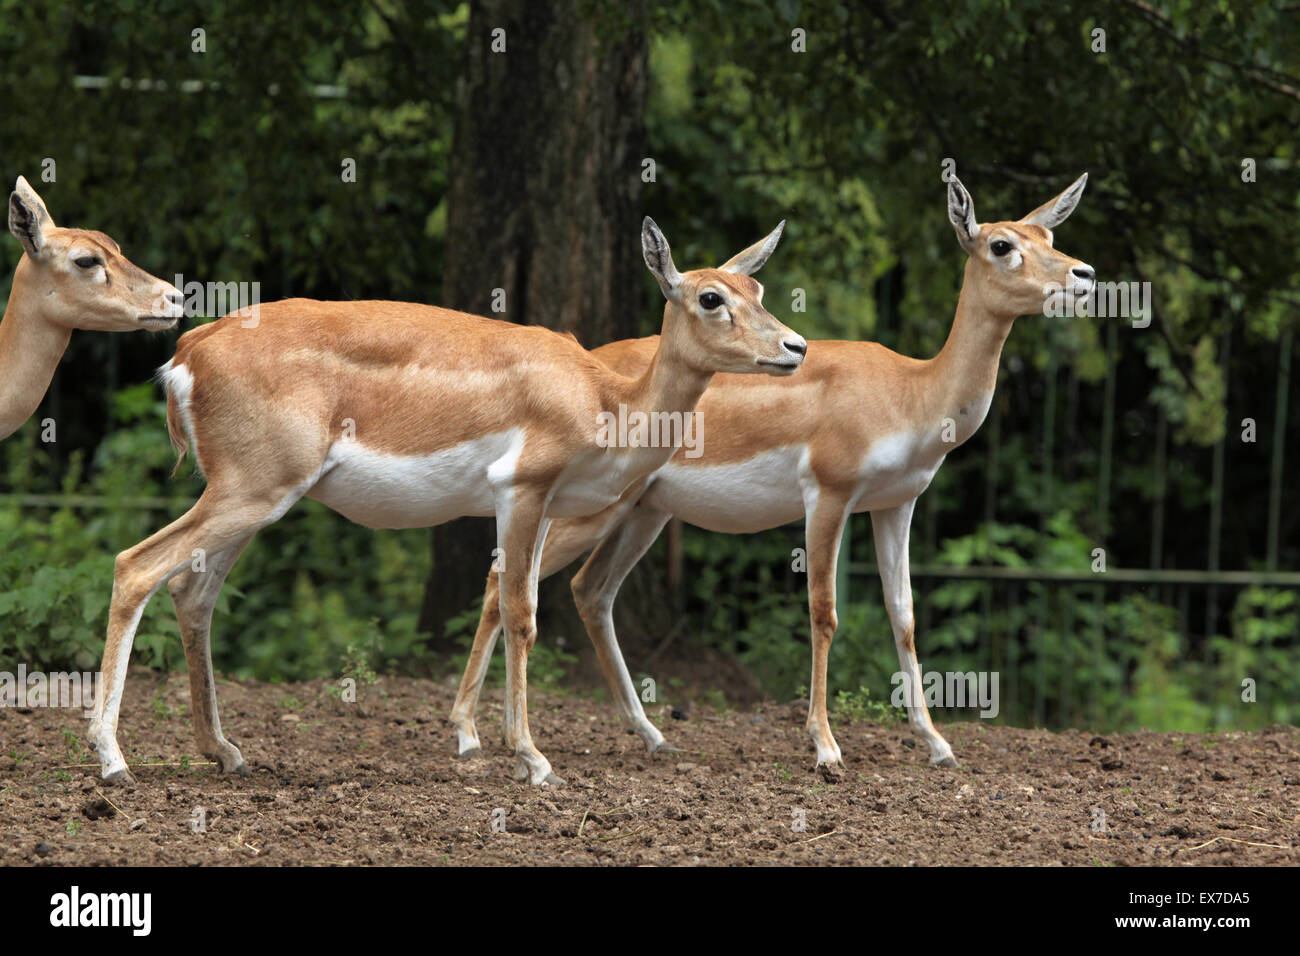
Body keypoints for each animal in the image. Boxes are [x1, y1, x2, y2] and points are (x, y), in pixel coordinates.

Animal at [89, 221, 800, 790]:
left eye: (759, 290)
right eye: (710, 297)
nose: (794, 347)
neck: (605, 400)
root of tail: (186, 354)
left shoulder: (548, 505)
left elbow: (523, 604)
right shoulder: (520, 490)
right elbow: (520, 615)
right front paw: (534, 760)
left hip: (256, 497)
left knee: (193, 591)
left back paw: (224, 751)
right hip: (251, 490)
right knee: (134, 565)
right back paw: (113, 760)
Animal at [452, 174, 1092, 770]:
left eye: (1050, 236)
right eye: (1002, 244)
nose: (1084, 274)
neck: (912, 392)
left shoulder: (896, 503)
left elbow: (905, 616)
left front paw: (937, 744)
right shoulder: (829, 494)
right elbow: (824, 612)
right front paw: (826, 746)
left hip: (644, 511)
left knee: (589, 590)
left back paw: (650, 736)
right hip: (588, 508)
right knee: (502, 584)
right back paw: (471, 735)